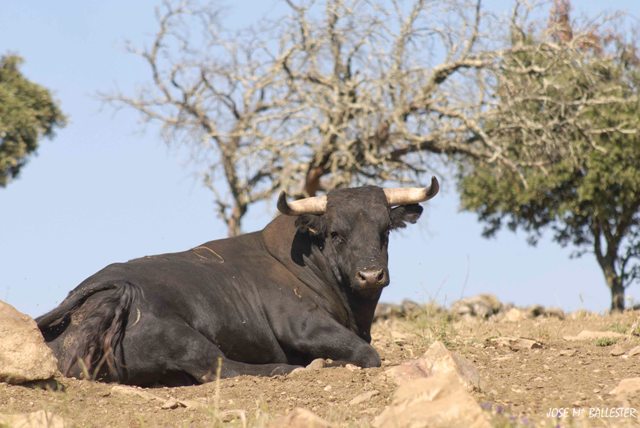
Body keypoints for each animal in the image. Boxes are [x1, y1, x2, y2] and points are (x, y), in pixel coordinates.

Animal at [37, 179, 438, 386]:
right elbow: (366, 354)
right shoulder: (303, 325)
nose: (371, 275)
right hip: (182, 338)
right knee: (220, 367)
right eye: (336, 233)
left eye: (385, 230)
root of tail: (113, 288)